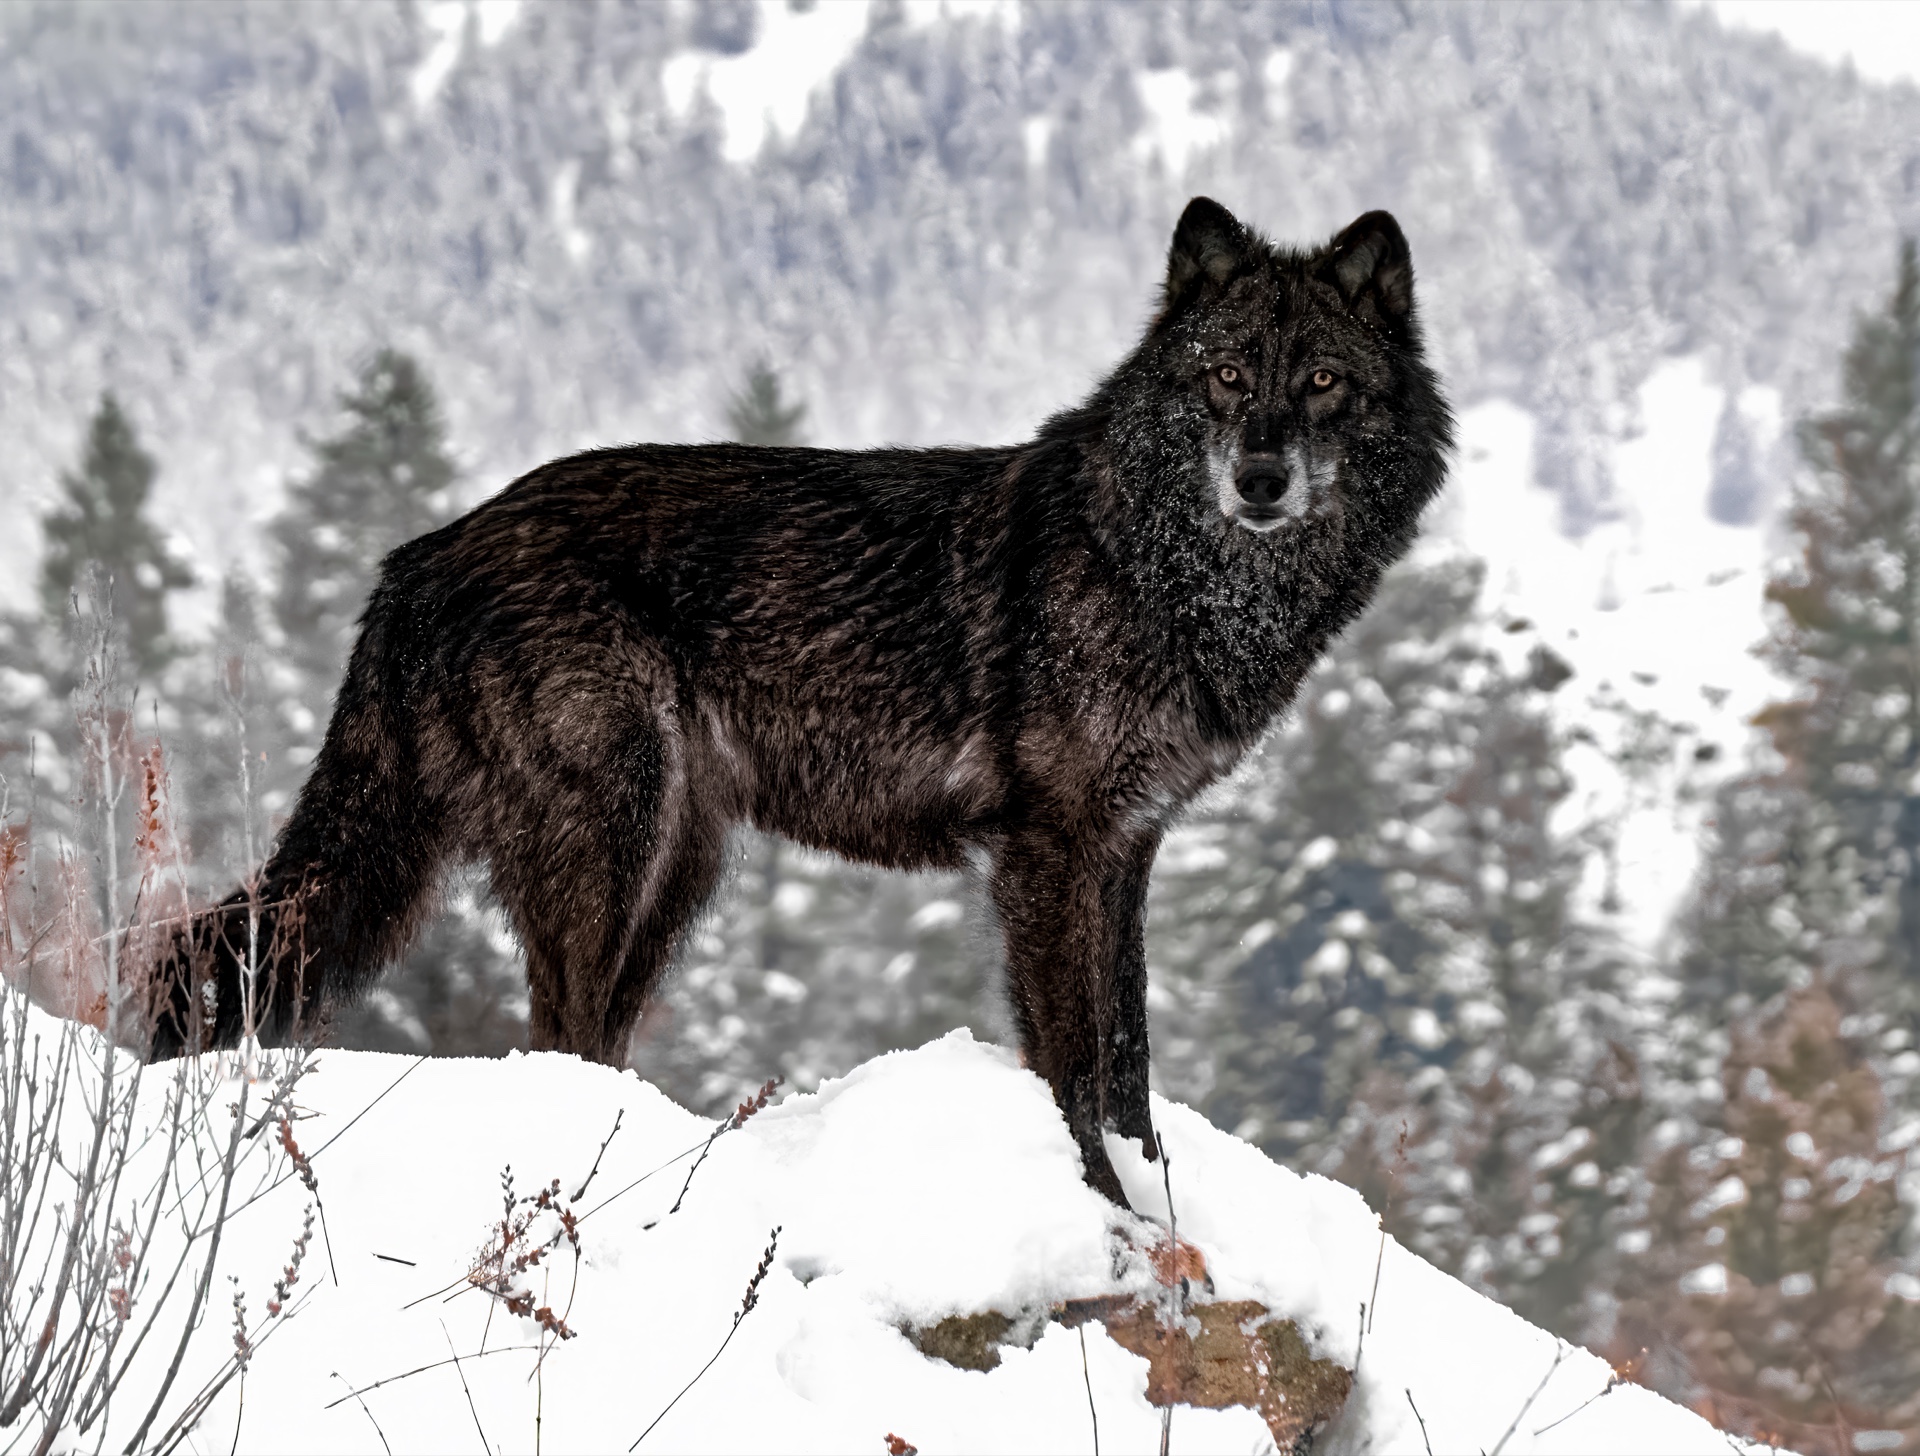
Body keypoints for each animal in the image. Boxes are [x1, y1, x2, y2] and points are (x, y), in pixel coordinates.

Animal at [150, 198, 1451, 1205]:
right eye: (1227, 377)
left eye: (1322, 381)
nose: (1262, 477)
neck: (1155, 565)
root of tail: (418, 555)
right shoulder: (1048, 846)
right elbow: (1074, 1062)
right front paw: (1099, 1204)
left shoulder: (1126, 845)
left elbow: (1128, 1056)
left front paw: (1162, 1207)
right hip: (615, 837)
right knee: (556, 1028)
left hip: (677, 869)